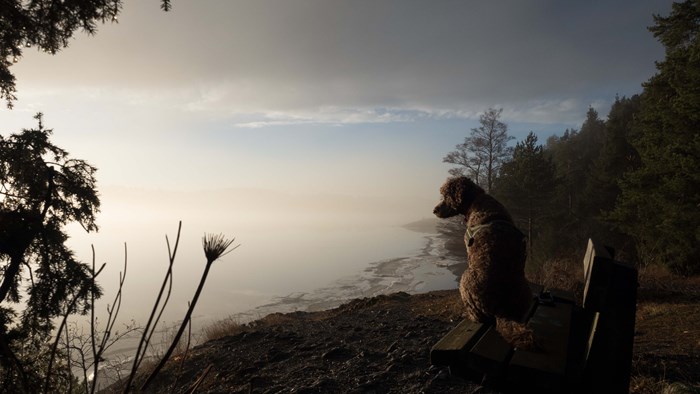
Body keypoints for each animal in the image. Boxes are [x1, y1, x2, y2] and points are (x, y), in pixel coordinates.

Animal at [432, 176, 532, 326]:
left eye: (446, 196)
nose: (434, 210)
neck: (476, 201)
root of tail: (502, 310)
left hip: (465, 280)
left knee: (478, 316)